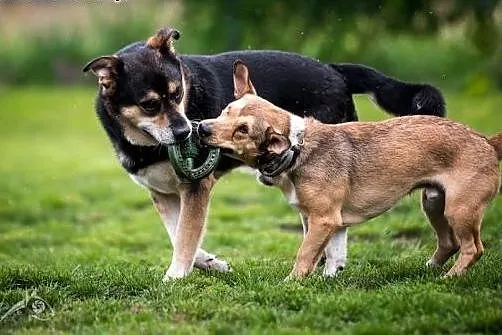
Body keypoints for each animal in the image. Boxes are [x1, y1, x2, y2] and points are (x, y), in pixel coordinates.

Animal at [84, 27, 446, 282]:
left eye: (178, 94)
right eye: (149, 105)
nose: (188, 132)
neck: (145, 143)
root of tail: (335, 70)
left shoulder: (195, 188)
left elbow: (185, 236)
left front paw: (173, 279)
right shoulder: (162, 193)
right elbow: (180, 236)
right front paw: (211, 263)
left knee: (334, 221)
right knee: (337, 224)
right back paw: (332, 271)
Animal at [199, 61, 502, 280]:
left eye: (243, 130)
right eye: (226, 110)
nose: (202, 128)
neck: (297, 148)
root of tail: (487, 142)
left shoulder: (324, 220)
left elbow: (305, 253)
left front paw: (292, 282)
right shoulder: (325, 221)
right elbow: (331, 254)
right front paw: (326, 280)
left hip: (459, 209)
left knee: (473, 248)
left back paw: (450, 277)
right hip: (434, 202)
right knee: (450, 243)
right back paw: (428, 269)